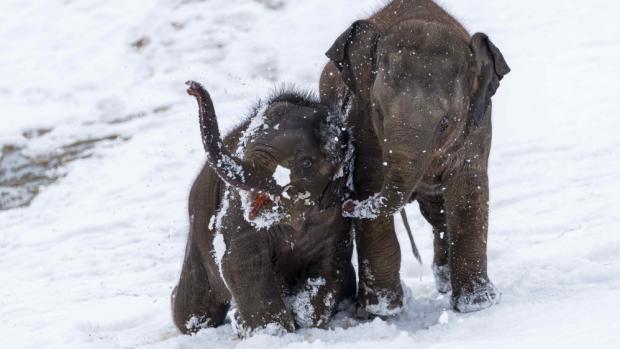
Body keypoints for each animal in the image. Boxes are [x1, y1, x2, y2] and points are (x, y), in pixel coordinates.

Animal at [172, 80, 356, 334]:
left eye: (306, 163)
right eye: (244, 146)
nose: (191, 87)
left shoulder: (336, 217)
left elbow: (330, 264)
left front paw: (302, 318)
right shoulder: (236, 208)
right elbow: (242, 262)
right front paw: (273, 331)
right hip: (199, 222)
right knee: (195, 311)